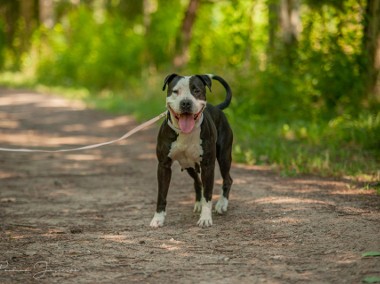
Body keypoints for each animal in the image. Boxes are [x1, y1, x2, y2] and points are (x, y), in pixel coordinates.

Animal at [150, 74, 233, 227]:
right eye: (175, 91)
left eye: (196, 90)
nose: (186, 103)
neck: (185, 133)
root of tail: (217, 108)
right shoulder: (163, 166)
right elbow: (161, 194)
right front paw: (158, 218)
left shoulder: (207, 166)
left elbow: (208, 194)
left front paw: (205, 218)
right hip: (189, 165)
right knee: (198, 182)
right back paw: (199, 203)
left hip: (224, 157)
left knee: (227, 179)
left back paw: (221, 204)